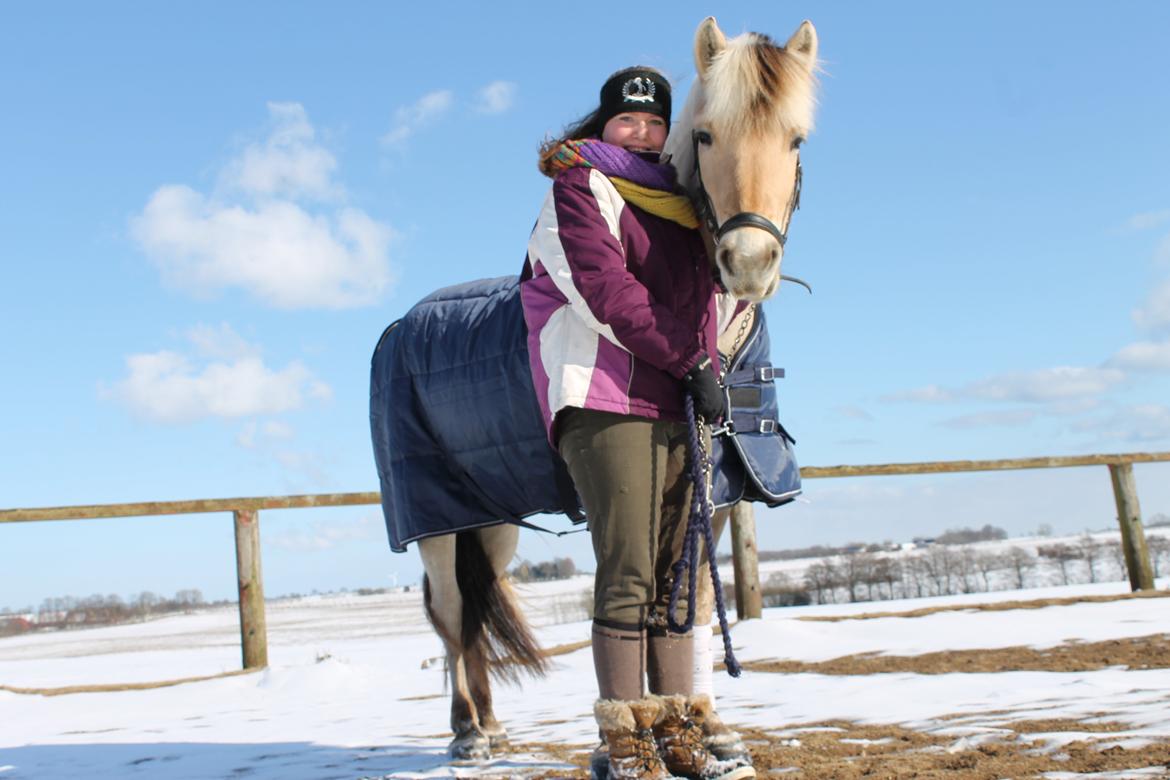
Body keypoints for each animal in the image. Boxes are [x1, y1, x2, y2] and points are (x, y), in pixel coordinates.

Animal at [369, 18, 819, 762]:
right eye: (705, 136)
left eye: (796, 139)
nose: (748, 263)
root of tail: (400, 327)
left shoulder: (715, 488)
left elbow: (691, 603)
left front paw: (707, 724)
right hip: (435, 522)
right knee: (454, 616)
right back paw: (468, 733)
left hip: (491, 524)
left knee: (474, 607)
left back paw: (492, 724)